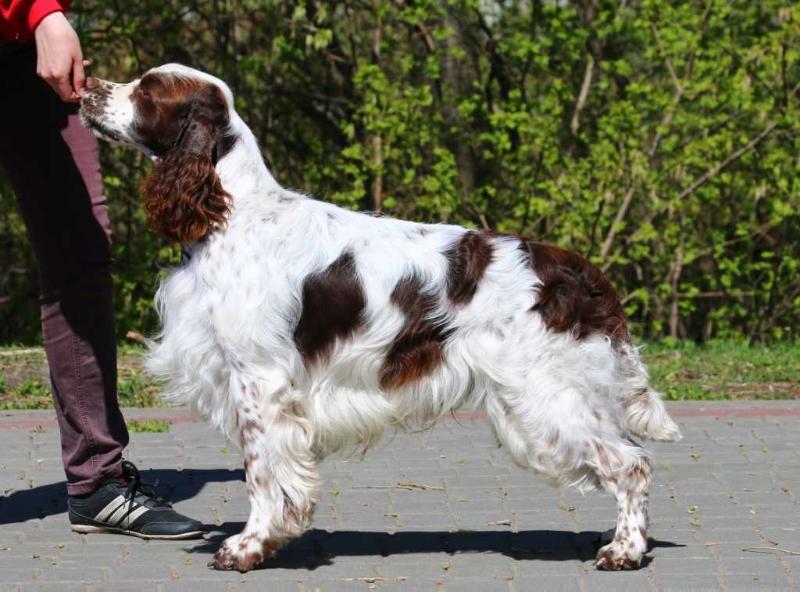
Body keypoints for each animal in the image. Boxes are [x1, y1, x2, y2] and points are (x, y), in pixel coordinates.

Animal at [79, 65, 680, 572]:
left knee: (633, 462)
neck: (233, 212)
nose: (85, 87)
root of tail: (578, 272)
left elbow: (262, 471)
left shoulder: (258, 379)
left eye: (147, 90)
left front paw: (249, 546)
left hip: (546, 396)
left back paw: (624, 551)